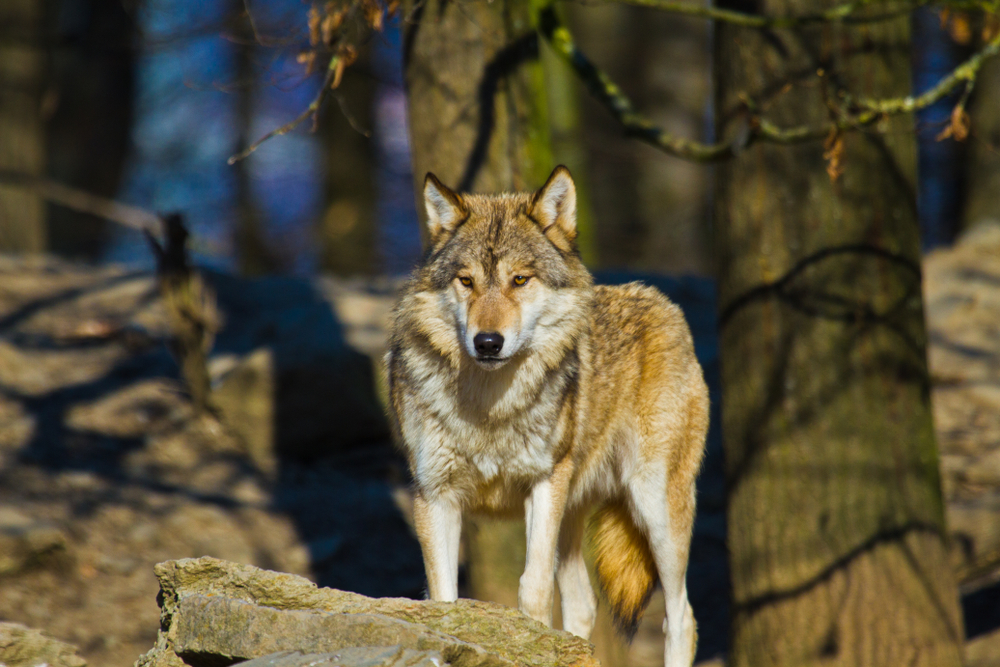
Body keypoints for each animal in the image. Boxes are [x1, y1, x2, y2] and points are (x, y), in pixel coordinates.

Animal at [384, 166, 712, 667]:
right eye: (466, 281)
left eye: (520, 280)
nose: (487, 343)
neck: (489, 407)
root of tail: (663, 300)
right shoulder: (434, 496)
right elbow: (444, 599)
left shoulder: (542, 484)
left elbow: (532, 589)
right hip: (577, 518)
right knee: (584, 605)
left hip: (654, 506)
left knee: (682, 616)